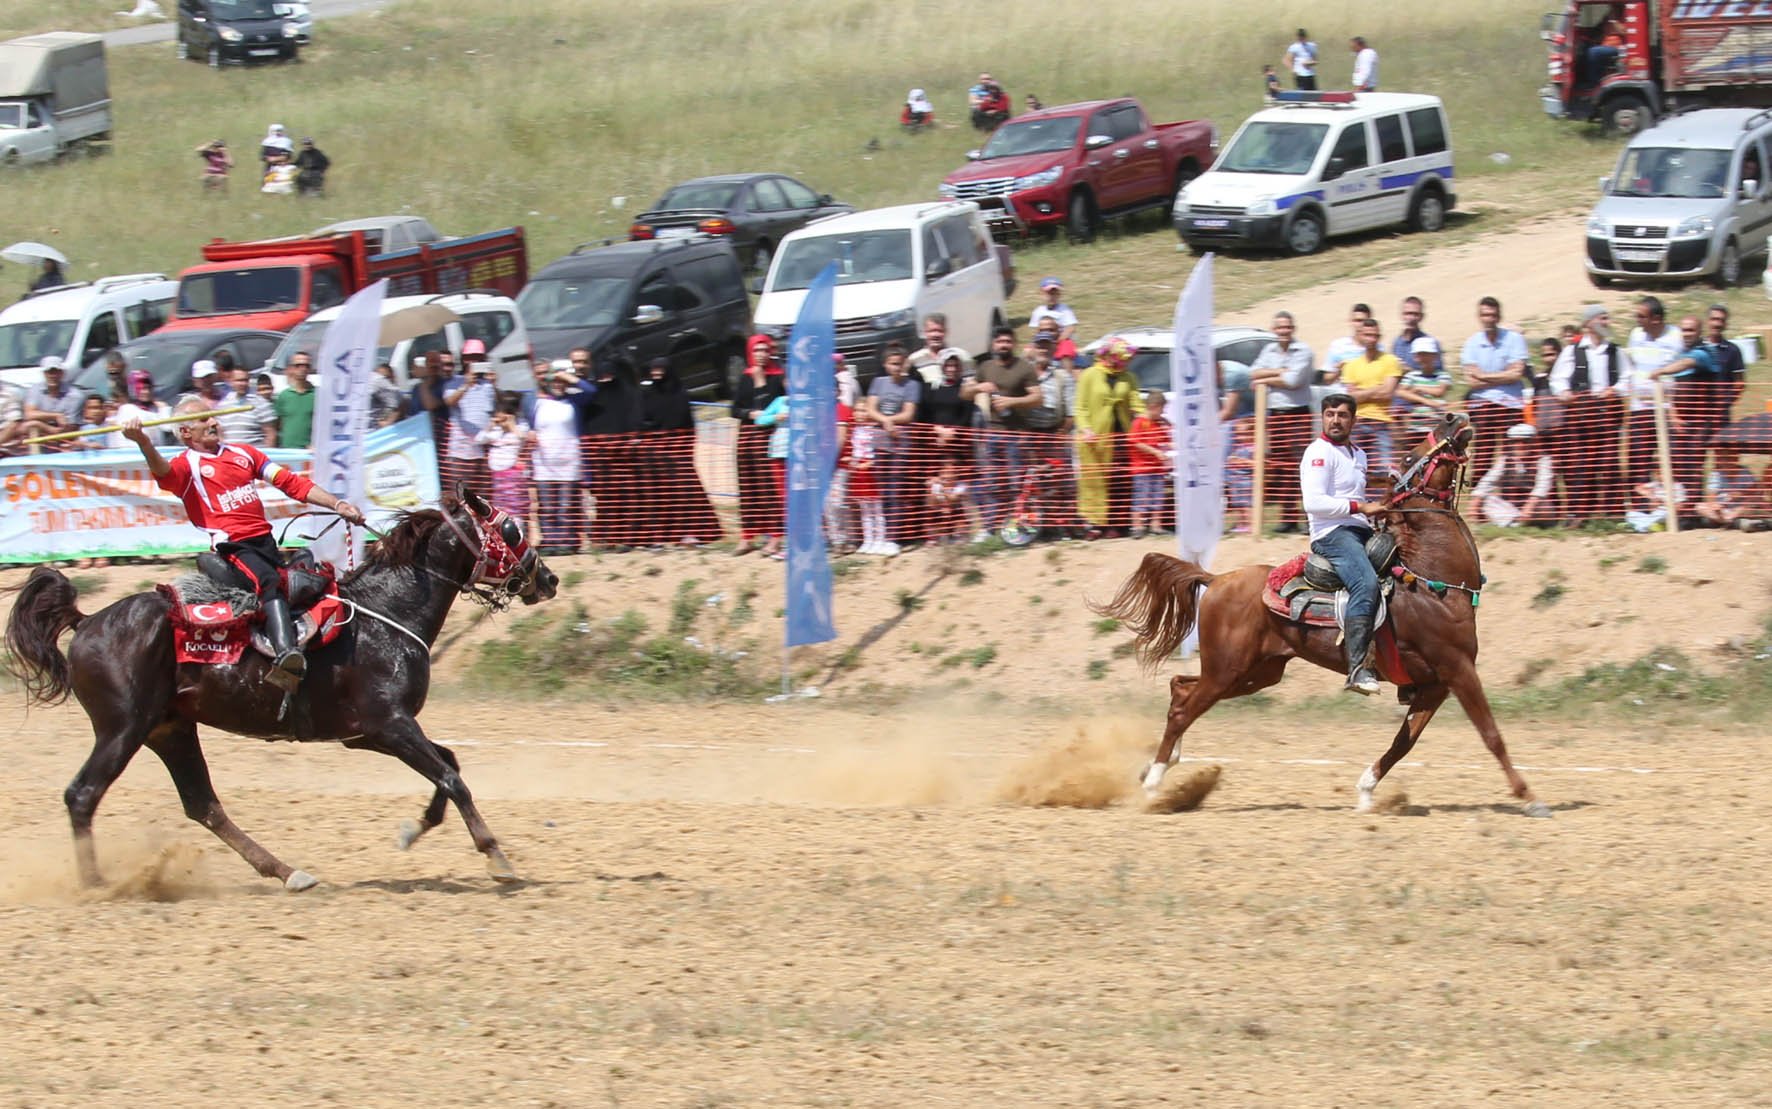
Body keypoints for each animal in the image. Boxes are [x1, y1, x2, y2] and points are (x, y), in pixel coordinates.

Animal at [5, 488, 559, 889]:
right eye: (510, 527)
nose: (548, 577)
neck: (386, 614)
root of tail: (87, 621)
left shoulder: (368, 733)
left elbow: (450, 766)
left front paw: (413, 830)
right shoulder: (390, 725)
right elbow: (451, 776)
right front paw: (496, 856)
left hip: (170, 729)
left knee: (203, 805)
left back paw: (287, 872)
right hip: (122, 729)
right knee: (83, 795)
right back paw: (96, 884)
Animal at [1098, 407, 1545, 811]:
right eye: (1405, 459)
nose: (1453, 418)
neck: (1432, 581)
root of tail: (1217, 578)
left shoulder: (1435, 685)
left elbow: (1404, 742)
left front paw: (1366, 791)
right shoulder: (1457, 669)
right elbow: (1491, 734)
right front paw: (1529, 797)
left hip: (1255, 673)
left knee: (1181, 690)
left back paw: (1162, 764)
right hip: (1228, 670)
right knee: (1184, 708)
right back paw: (1153, 784)